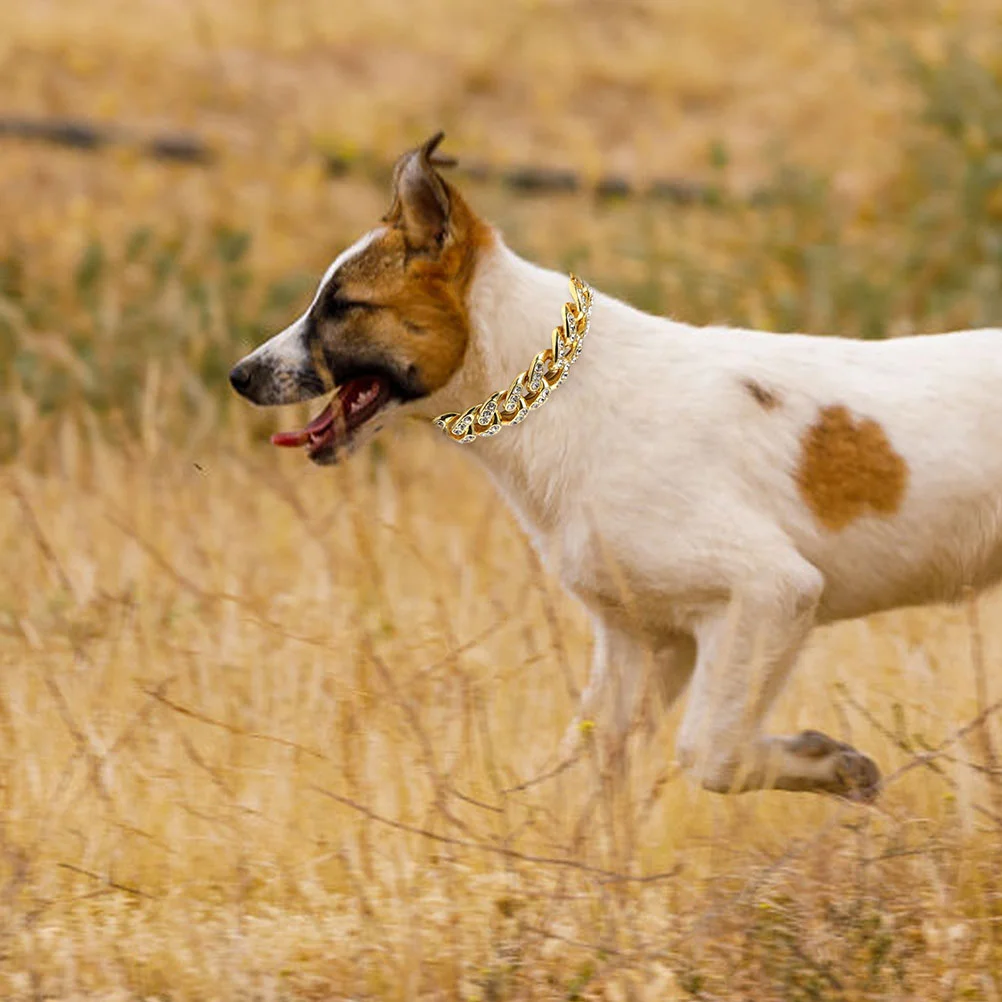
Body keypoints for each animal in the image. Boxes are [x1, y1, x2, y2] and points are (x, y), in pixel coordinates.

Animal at [227, 135, 1002, 805]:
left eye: (343, 307)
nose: (240, 375)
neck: (565, 395)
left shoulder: (771, 591)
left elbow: (708, 753)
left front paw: (832, 765)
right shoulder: (644, 642)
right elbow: (582, 777)